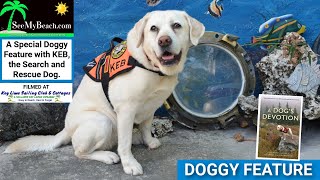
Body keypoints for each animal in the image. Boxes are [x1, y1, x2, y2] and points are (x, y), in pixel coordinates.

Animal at [4, 10, 205, 175]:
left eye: (176, 25)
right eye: (153, 29)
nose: (164, 41)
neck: (151, 66)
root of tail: (66, 129)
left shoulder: (151, 107)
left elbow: (146, 127)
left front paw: (148, 141)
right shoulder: (125, 110)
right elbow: (124, 144)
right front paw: (129, 164)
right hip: (102, 121)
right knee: (80, 151)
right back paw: (107, 155)